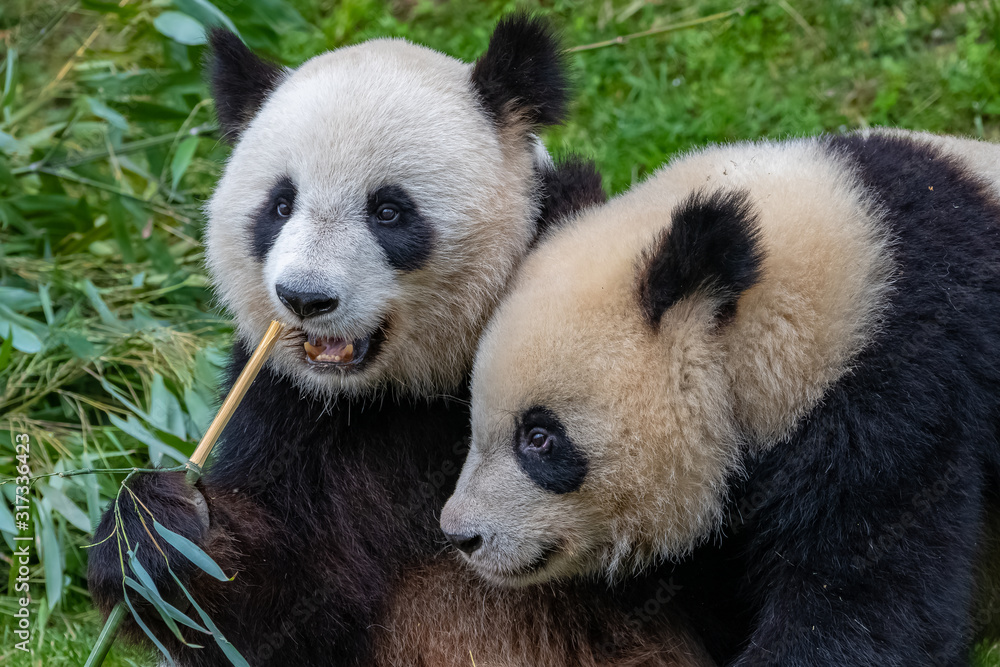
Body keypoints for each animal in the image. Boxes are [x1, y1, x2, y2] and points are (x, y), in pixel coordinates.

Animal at [86, 14, 714, 667]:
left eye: (388, 211)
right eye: (280, 205)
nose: (306, 298)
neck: (407, 387)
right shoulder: (288, 408)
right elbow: (277, 604)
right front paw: (154, 529)